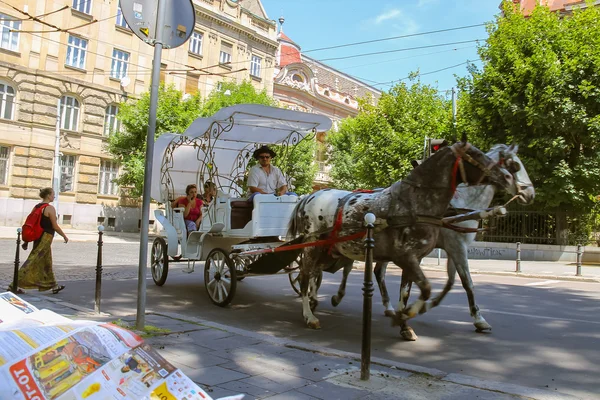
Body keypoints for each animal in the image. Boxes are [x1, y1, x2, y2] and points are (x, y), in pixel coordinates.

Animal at [284, 139, 516, 330]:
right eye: (475, 154)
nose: (507, 177)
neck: (415, 203)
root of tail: (310, 196)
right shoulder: (408, 256)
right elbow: (429, 287)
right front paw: (407, 314)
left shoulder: (418, 257)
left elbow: (411, 290)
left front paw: (405, 320)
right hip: (313, 246)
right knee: (305, 276)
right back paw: (310, 315)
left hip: (330, 249)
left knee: (317, 273)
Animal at [332, 142, 536, 340]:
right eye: (516, 165)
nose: (531, 194)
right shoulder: (456, 246)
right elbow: (467, 282)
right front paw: (479, 319)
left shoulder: (453, 248)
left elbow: (452, 282)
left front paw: (420, 308)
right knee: (355, 268)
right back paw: (342, 296)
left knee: (375, 271)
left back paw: (388, 307)